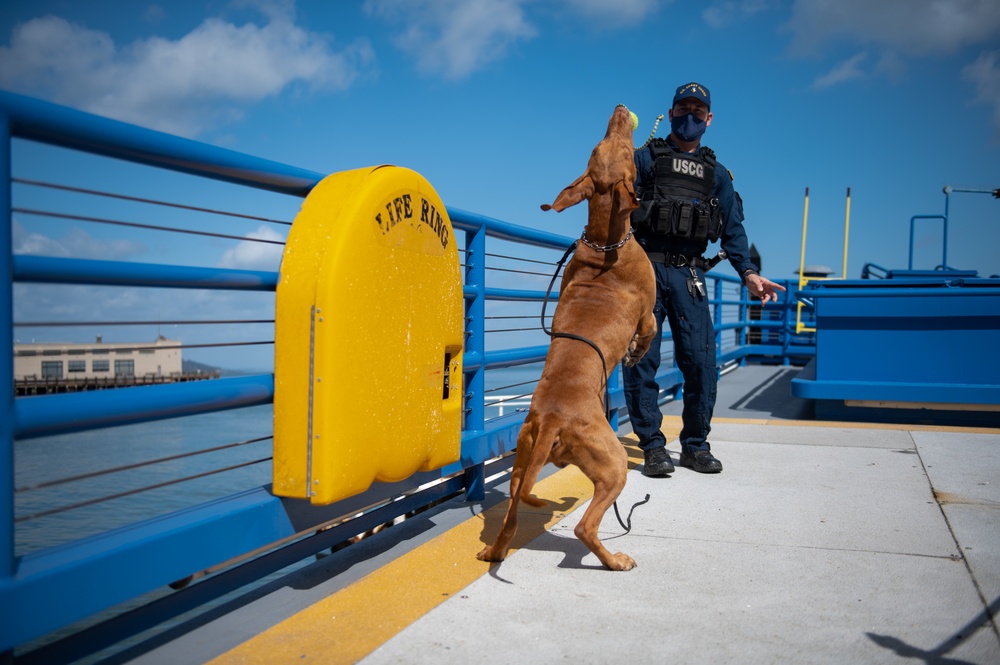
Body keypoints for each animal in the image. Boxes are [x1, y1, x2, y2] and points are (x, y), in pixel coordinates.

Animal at [480, 105, 660, 572]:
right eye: (620, 149)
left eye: (596, 148)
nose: (620, 109)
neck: (604, 241)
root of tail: (552, 420)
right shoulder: (649, 310)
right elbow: (649, 331)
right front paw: (634, 354)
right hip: (613, 464)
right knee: (585, 527)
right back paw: (615, 560)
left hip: (522, 460)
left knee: (511, 516)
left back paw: (493, 550)